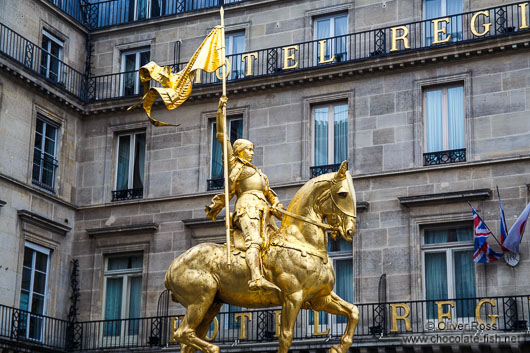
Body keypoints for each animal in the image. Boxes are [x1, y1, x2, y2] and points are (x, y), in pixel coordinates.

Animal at [163, 162, 356, 352]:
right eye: (342, 194)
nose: (350, 230)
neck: (301, 241)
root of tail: (171, 268)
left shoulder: (319, 298)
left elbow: (353, 311)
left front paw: (339, 347)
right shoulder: (293, 297)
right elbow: (285, 337)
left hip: (212, 304)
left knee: (188, 340)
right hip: (201, 299)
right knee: (183, 333)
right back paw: (213, 348)